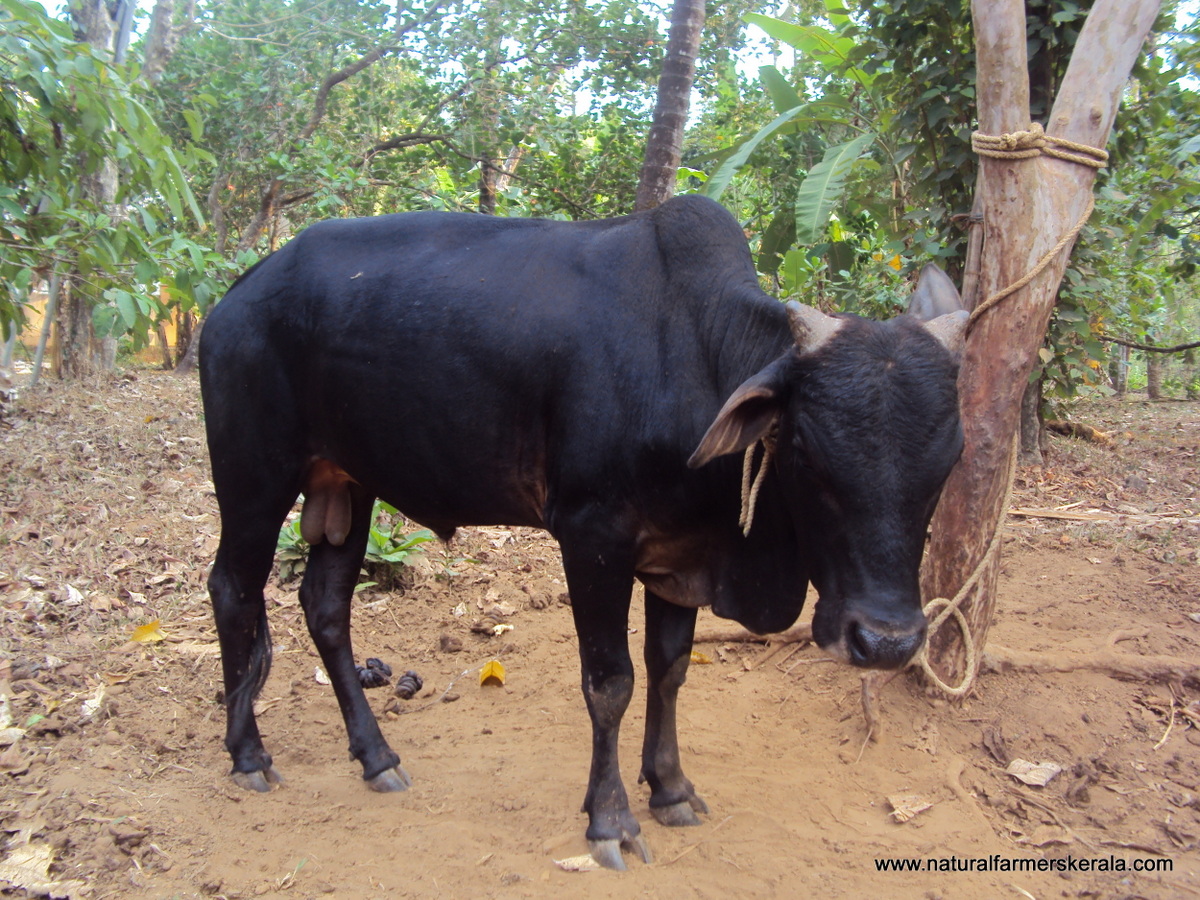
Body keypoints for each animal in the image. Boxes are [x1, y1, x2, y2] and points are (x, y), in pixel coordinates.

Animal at [196, 194, 964, 868]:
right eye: (807, 450)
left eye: (949, 462)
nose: (888, 642)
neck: (691, 355)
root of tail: (235, 295)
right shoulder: (593, 537)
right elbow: (611, 682)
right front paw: (611, 820)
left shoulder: (679, 555)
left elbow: (670, 668)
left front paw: (671, 789)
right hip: (255, 478)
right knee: (233, 589)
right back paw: (249, 755)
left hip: (348, 485)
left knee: (326, 609)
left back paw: (377, 757)